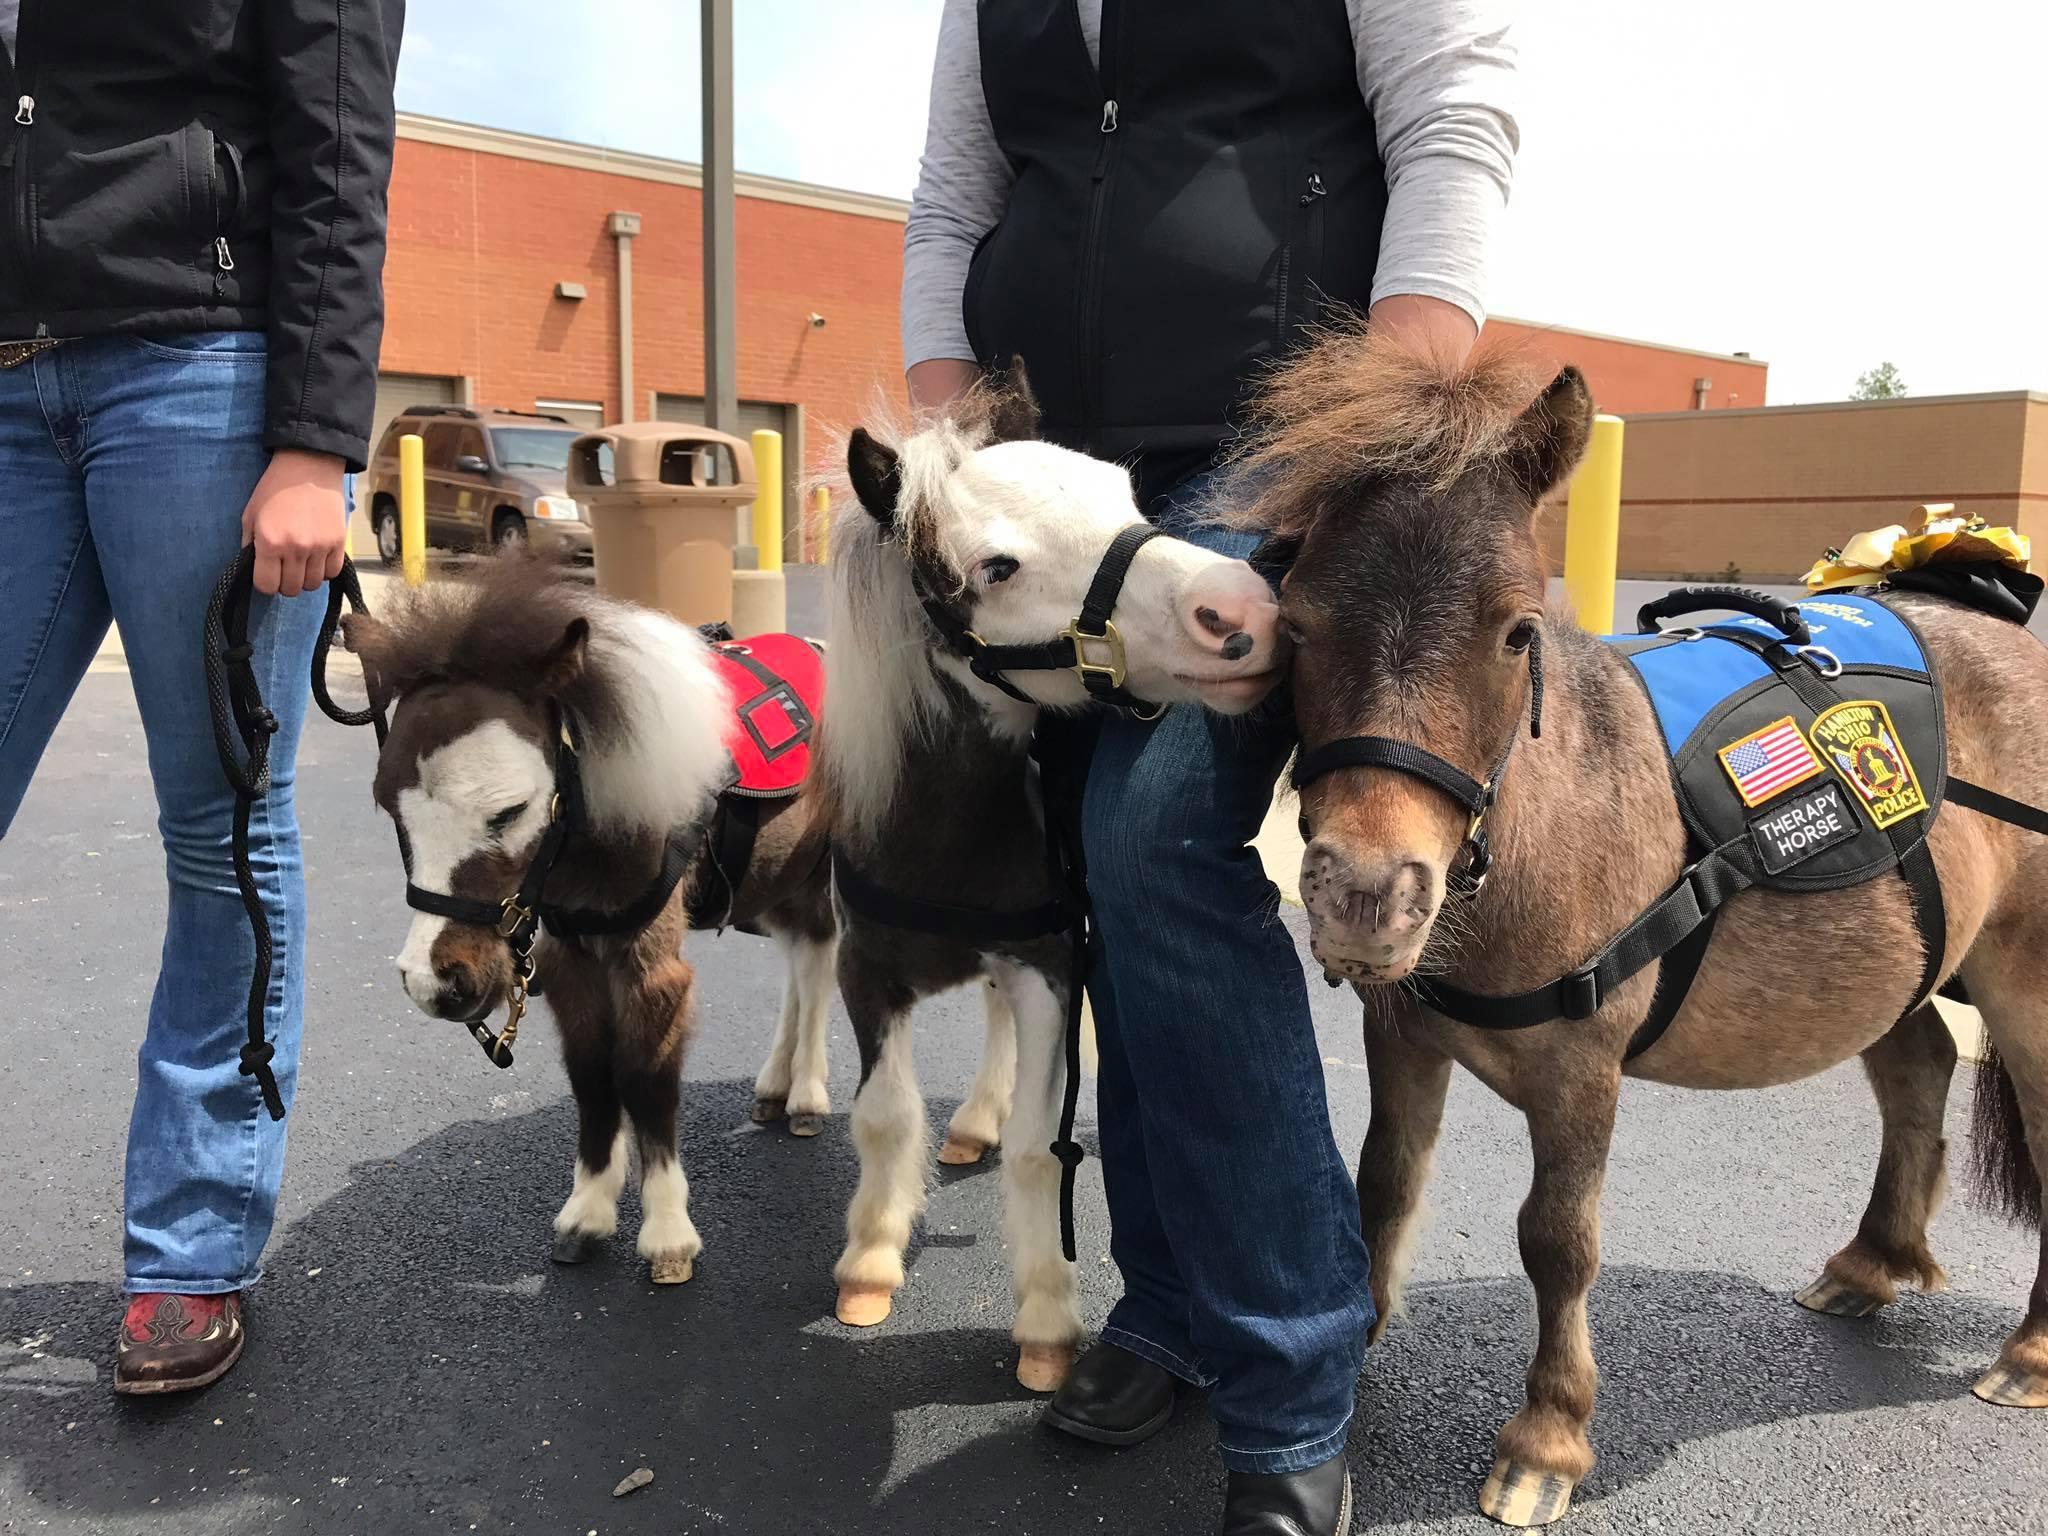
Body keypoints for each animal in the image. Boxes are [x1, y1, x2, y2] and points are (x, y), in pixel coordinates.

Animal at [344, 561, 831, 1286]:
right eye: (389, 808)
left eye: (508, 811)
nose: (436, 981)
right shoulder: (570, 958)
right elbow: (593, 1075)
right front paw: (588, 1213)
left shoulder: (649, 965)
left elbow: (645, 1078)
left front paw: (667, 1237)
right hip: (781, 880)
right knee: (799, 964)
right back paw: (776, 1086)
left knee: (820, 963)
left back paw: (807, 1097)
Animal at [815, 376, 1277, 1392]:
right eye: (995, 568)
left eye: (1128, 500)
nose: (1244, 612)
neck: (940, 840)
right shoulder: (866, 973)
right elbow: (884, 1117)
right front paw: (869, 1261)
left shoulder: (1049, 967)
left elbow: (1037, 1145)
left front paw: (1046, 1319)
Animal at [1228, 327, 2048, 1531]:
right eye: (1293, 623)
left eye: (1515, 630)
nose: (1364, 893)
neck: (1536, 824)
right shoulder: (1404, 1036)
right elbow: (1384, 1181)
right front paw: (1354, 1352)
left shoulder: (1582, 1071)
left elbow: (1556, 1242)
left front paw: (1546, 1439)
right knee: (1918, 1070)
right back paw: (1869, 1263)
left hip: (2027, 986)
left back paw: (2028, 1350)